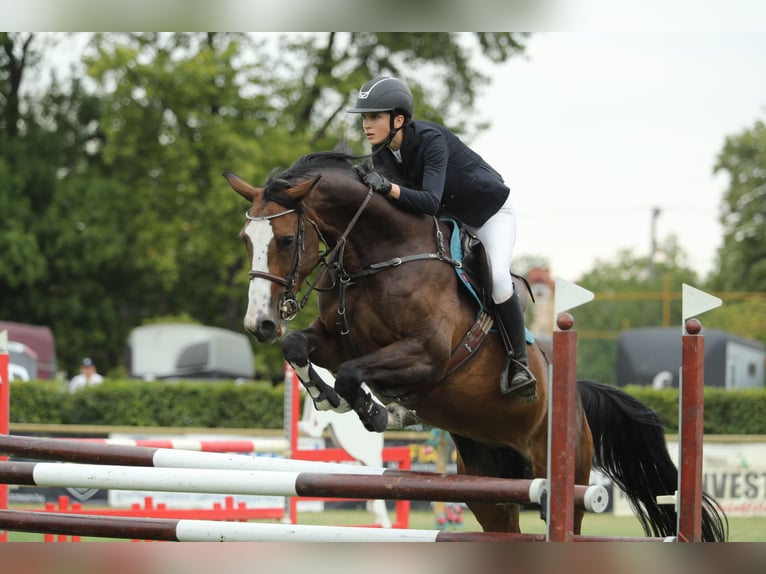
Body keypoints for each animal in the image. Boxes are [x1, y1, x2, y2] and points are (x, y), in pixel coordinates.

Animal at [223, 150, 727, 540]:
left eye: (287, 238)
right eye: (246, 238)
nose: (260, 322)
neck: (377, 257)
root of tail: (576, 401)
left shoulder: (426, 355)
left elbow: (353, 374)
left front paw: (382, 412)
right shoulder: (336, 341)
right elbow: (298, 348)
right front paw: (327, 397)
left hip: (568, 482)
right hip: (488, 484)